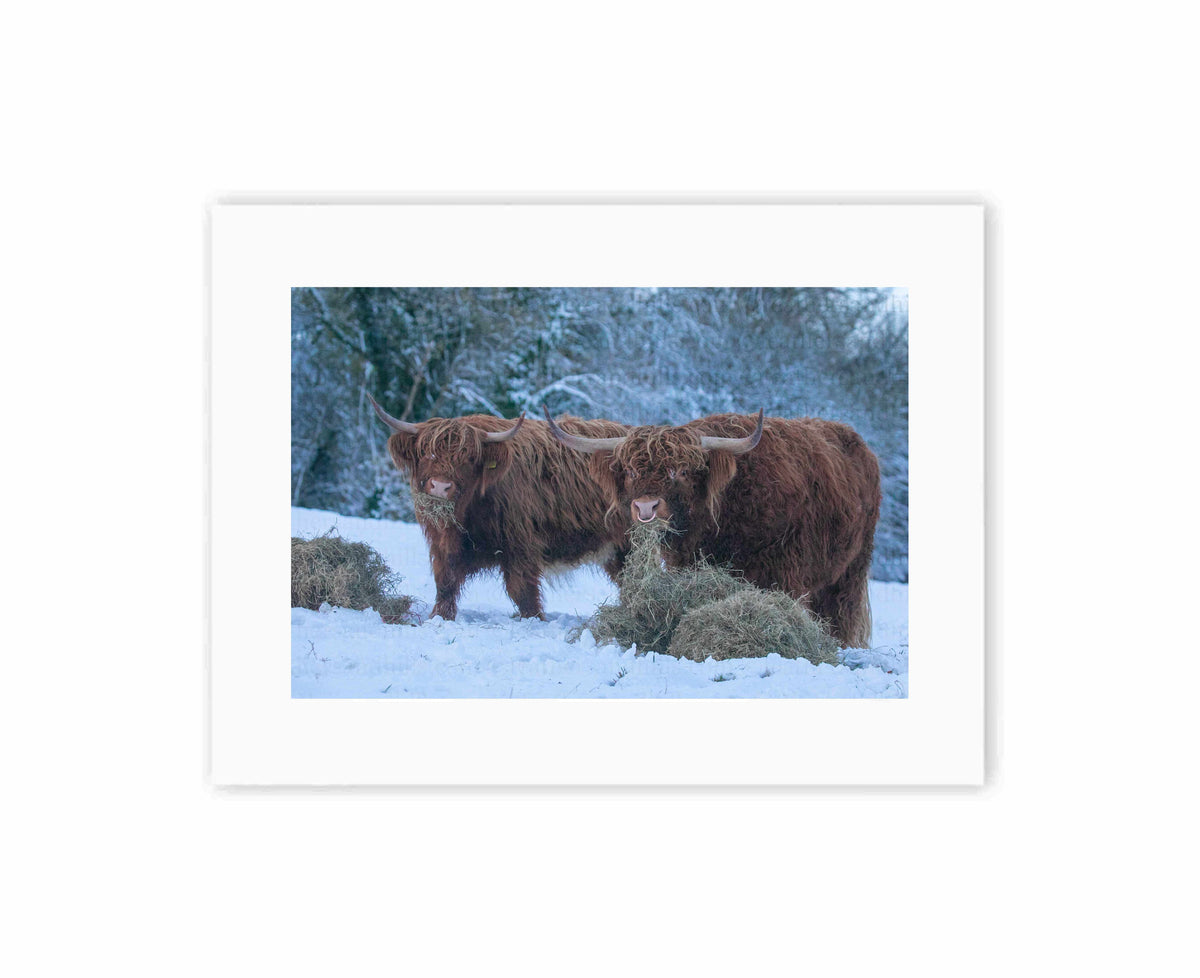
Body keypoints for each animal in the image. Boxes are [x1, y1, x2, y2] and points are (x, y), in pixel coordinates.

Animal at [368, 394, 629, 621]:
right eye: (426, 452)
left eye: (468, 458)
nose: (441, 486)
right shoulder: (442, 544)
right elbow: (445, 583)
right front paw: (440, 617)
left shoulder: (520, 546)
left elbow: (522, 591)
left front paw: (534, 620)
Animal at [543, 407, 881, 648]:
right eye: (629, 471)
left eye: (680, 471)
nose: (646, 508)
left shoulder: (785, 569)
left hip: (852, 568)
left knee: (841, 611)